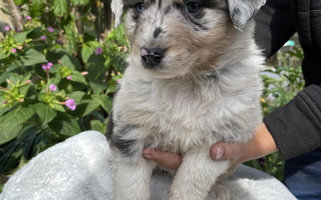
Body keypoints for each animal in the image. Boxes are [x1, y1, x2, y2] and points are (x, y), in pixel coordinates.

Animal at [107, 0, 264, 199]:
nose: (150, 54)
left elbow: (191, 182)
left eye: (193, 6)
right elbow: (131, 185)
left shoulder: (217, 141)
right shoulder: (132, 130)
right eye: (139, 7)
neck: (186, 81)